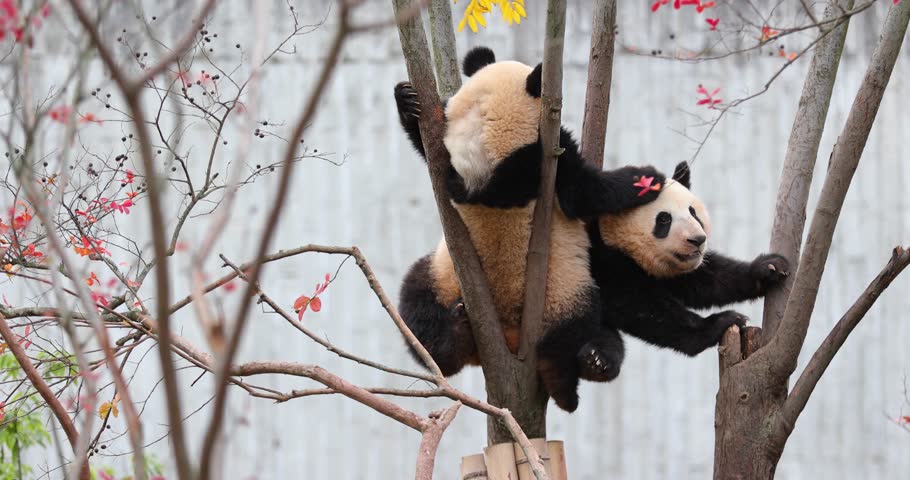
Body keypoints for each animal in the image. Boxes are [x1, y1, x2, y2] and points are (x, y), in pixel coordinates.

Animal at [394, 46, 666, 412]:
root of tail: (506, 336)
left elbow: (430, 149)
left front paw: (408, 101)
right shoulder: (546, 162)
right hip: (564, 294)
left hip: (438, 280)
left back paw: (452, 344)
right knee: (579, 338)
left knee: (417, 317)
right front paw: (645, 180)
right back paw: (572, 386)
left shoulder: (453, 168)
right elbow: (587, 193)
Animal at [585, 161, 791, 373]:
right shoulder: (603, 258)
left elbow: (706, 281)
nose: (697, 240)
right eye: (664, 219)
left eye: (693, 213)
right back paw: (598, 358)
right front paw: (722, 322)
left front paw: (769, 268)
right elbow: (637, 303)